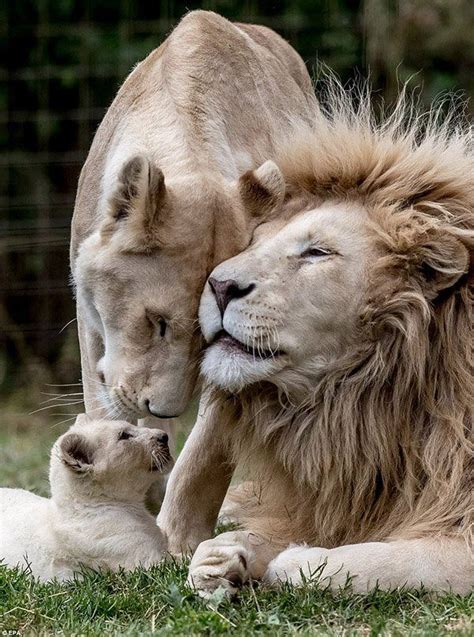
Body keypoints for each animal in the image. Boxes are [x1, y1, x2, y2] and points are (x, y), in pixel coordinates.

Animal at [159, 87, 474, 592]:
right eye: (254, 241)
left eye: (317, 252)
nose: (219, 285)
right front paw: (226, 554)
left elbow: (392, 561)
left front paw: (297, 562)